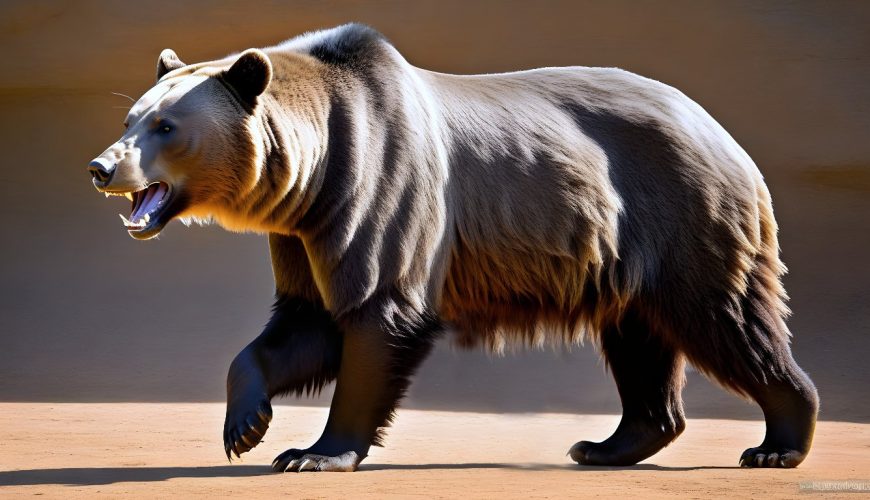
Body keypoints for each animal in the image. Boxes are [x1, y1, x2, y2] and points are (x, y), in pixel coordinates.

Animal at [88, 23, 818, 472]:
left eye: (165, 126)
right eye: (130, 117)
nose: (101, 166)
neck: (312, 175)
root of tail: (722, 134)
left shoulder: (377, 194)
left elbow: (375, 315)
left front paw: (316, 451)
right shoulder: (302, 233)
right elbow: (301, 327)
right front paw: (245, 425)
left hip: (683, 214)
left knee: (726, 319)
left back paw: (779, 441)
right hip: (626, 256)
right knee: (640, 339)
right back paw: (607, 443)